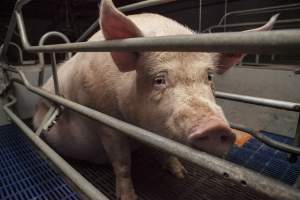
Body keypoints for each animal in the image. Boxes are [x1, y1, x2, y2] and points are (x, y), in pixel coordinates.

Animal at [32, 0, 276, 199]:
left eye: (209, 76)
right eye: (159, 79)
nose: (216, 128)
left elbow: (167, 150)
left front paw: (180, 174)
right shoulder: (106, 122)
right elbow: (122, 163)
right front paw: (129, 198)